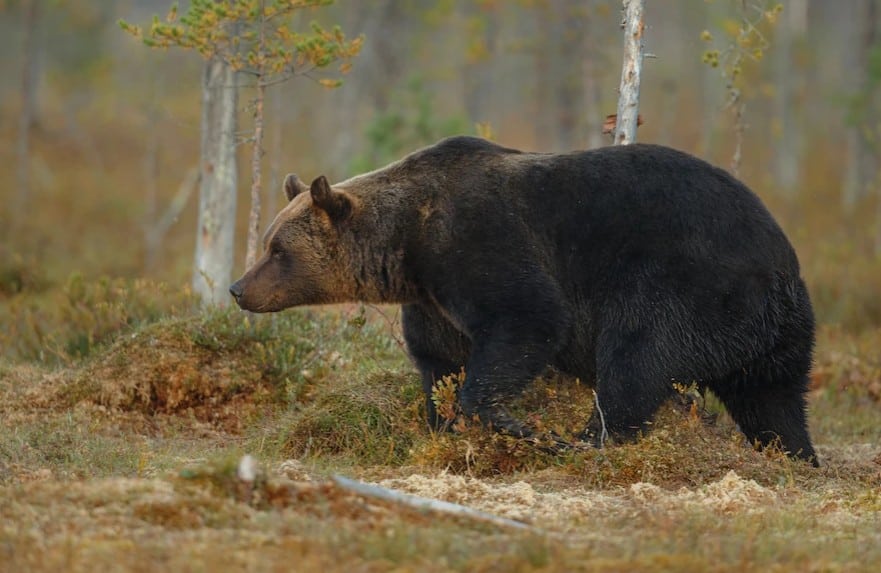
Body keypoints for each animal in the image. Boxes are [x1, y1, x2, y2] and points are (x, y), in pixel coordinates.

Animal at [229, 135, 820, 464]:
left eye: (278, 249)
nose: (238, 289)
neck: (407, 245)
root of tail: (781, 263)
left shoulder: (481, 242)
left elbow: (528, 319)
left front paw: (518, 426)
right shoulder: (432, 300)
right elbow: (438, 363)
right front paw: (442, 425)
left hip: (683, 283)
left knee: (636, 360)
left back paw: (588, 441)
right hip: (772, 332)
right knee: (773, 399)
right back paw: (795, 457)